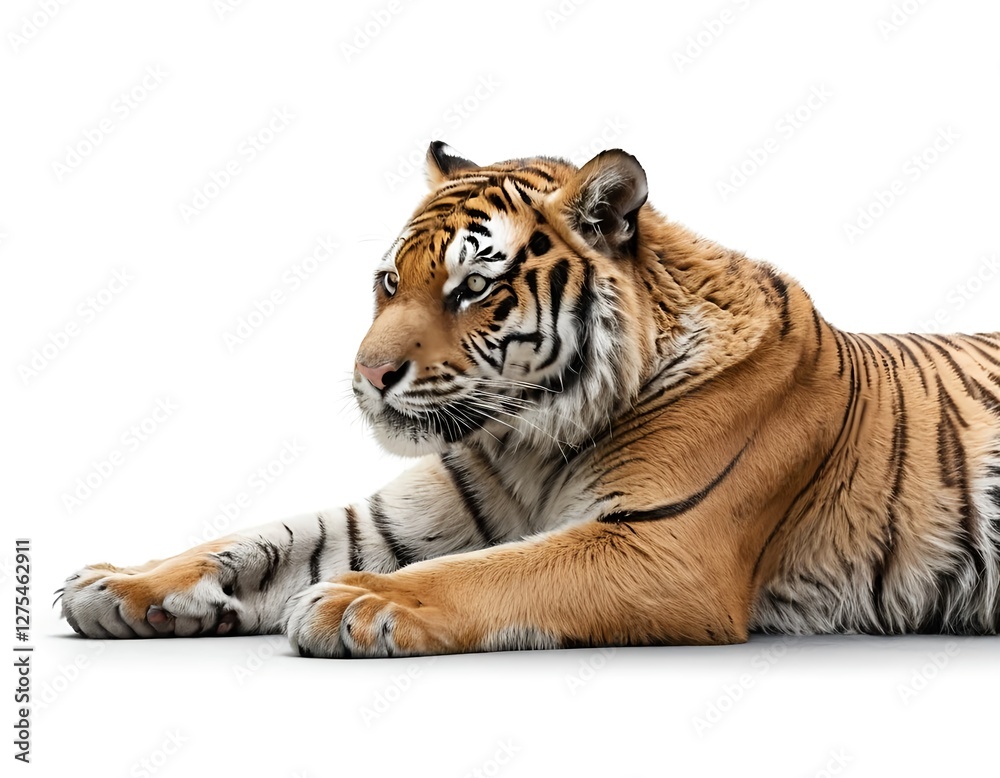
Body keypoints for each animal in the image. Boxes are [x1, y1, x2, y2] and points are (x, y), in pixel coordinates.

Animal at [58, 142, 1000, 657]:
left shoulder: (662, 546)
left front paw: (359, 602)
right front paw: (117, 583)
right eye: (389, 282)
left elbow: (492, 571)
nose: (368, 376)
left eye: (473, 288)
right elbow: (268, 536)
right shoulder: (402, 515)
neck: (531, 436)